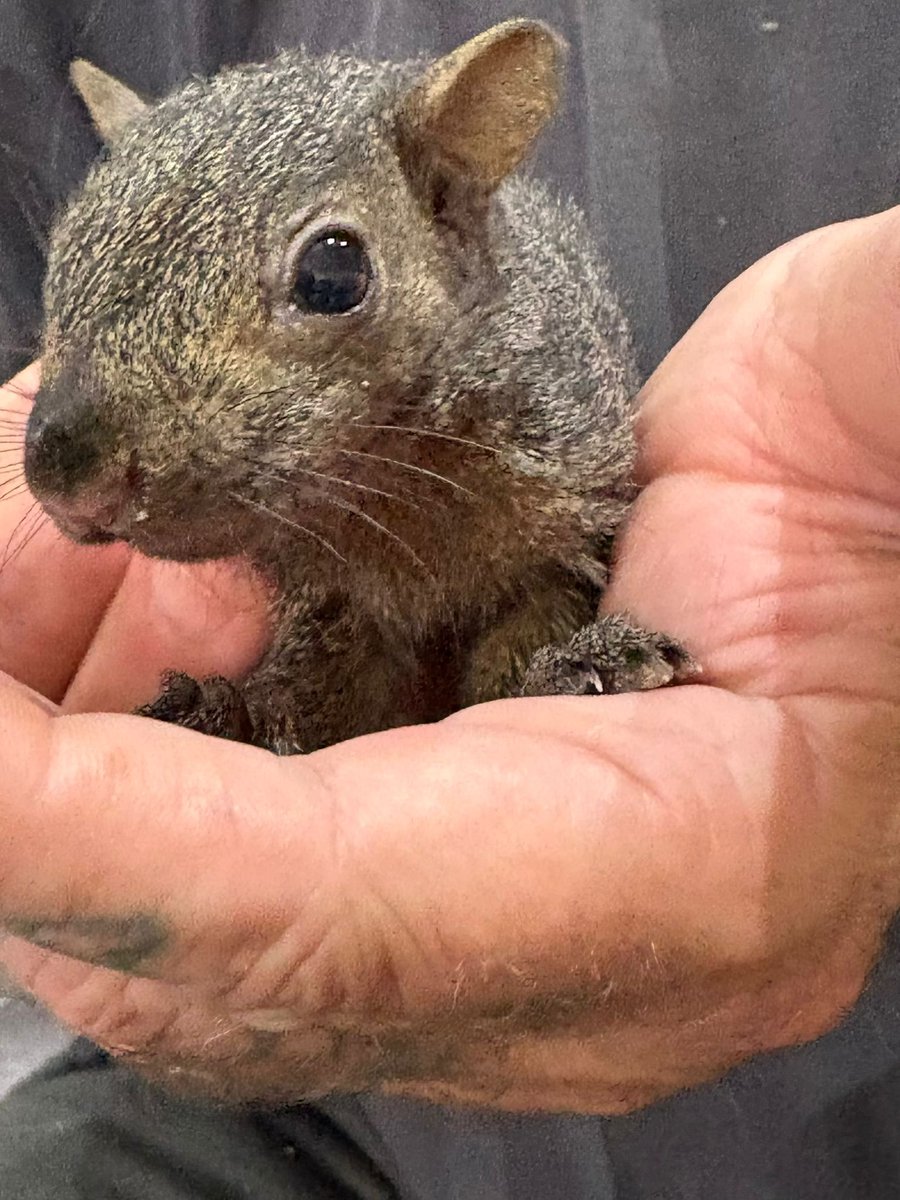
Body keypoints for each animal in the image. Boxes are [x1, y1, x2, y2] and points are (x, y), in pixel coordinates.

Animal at [23, 19, 694, 755]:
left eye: (332, 273)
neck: (386, 486)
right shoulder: (331, 607)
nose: (71, 479)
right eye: (62, 255)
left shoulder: (566, 525)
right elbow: (325, 700)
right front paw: (228, 713)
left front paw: (575, 665)